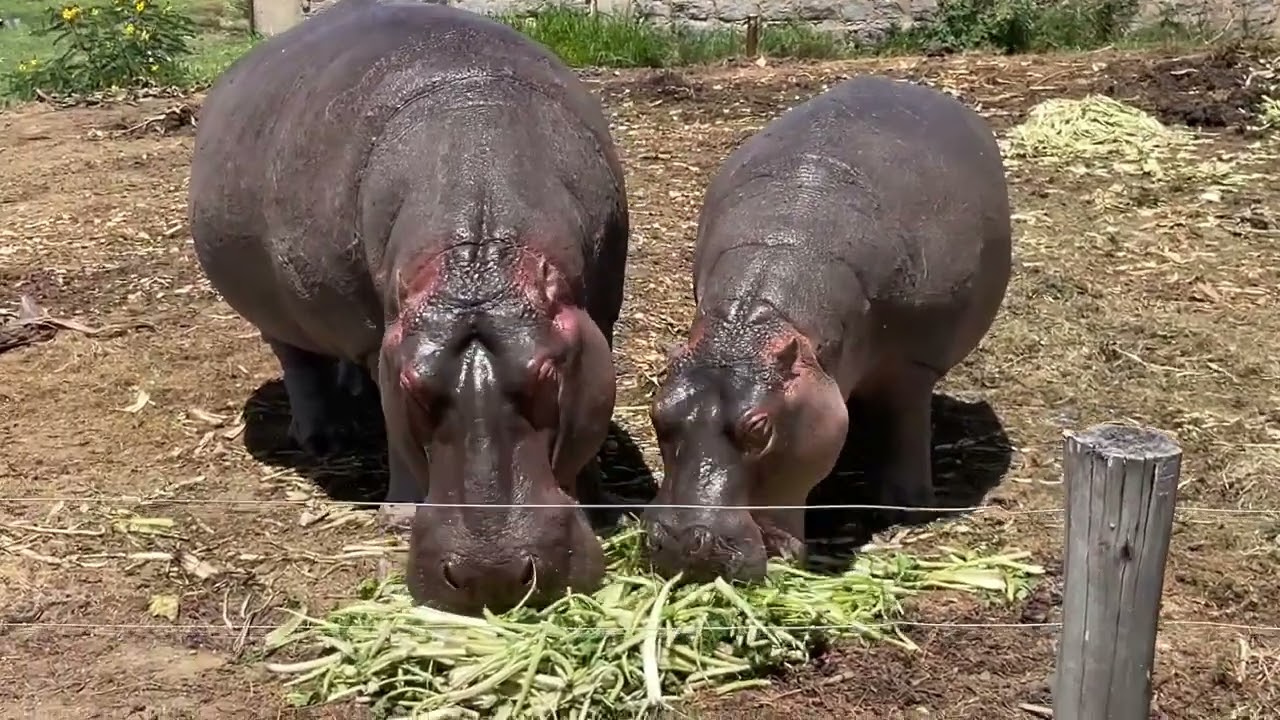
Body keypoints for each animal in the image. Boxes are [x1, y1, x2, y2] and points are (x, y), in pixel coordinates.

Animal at [188, 0, 630, 614]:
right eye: (413, 385)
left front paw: (601, 503)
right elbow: (395, 430)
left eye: (547, 372)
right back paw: (327, 436)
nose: (490, 576)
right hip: (276, 312)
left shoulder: (598, 324)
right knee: (299, 362)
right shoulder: (386, 343)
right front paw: (396, 516)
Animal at [643, 75, 1011, 581]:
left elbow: (907, 427)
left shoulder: (913, 363)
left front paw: (905, 510)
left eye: (760, 429)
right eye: (658, 413)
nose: (681, 542)